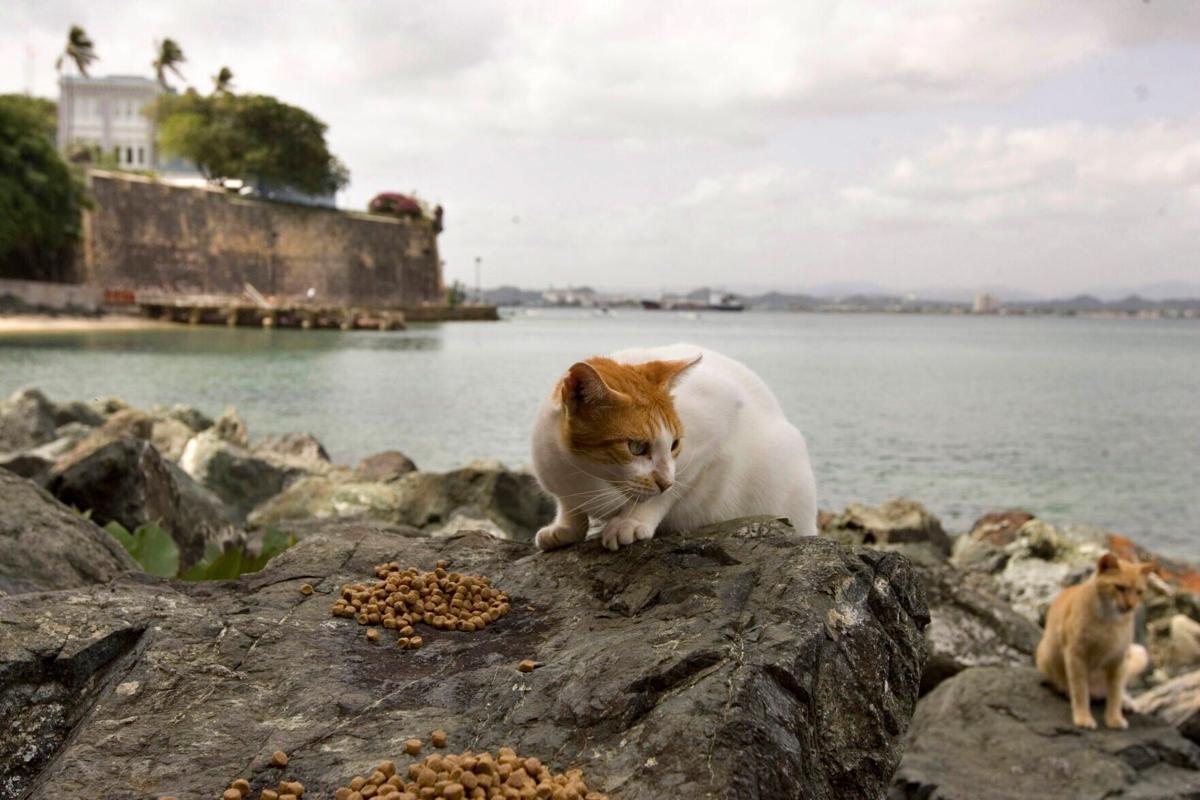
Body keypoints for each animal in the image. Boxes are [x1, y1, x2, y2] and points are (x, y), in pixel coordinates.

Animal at [532, 340, 820, 554]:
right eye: (636, 447)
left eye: (675, 444)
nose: (664, 481)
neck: (584, 476)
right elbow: (568, 506)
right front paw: (566, 527)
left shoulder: (715, 427)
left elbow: (670, 492)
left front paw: (632, 520)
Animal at [1032, 554, 1152, 729]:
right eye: (1120, 587)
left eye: (1139, 592)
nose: (1131, 606)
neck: (1109, 620)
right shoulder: (1076, 655)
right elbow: (1080, 690)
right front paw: (1083, 718)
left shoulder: (1119, 659)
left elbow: (1115, 693)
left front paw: (1114, 718)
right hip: (1045, 655)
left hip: (1138, 653)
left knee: (1118, 690)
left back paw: (1127, 702)